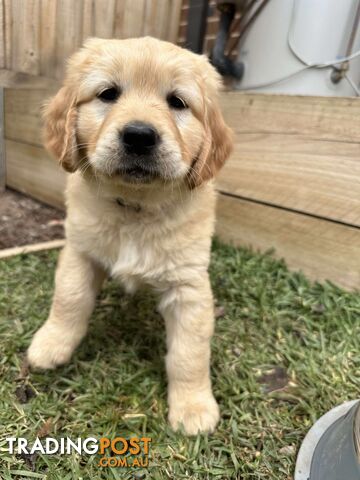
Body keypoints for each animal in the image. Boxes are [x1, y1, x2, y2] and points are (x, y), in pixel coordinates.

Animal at [26, 36, 232, 436]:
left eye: (177, 102)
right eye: (108, 94)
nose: (139, 136)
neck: (136, 208)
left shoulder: (189, 285)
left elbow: (190, 352)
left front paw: (194, 407)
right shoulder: (79, 251)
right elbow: (69, 299)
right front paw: (51, 344)